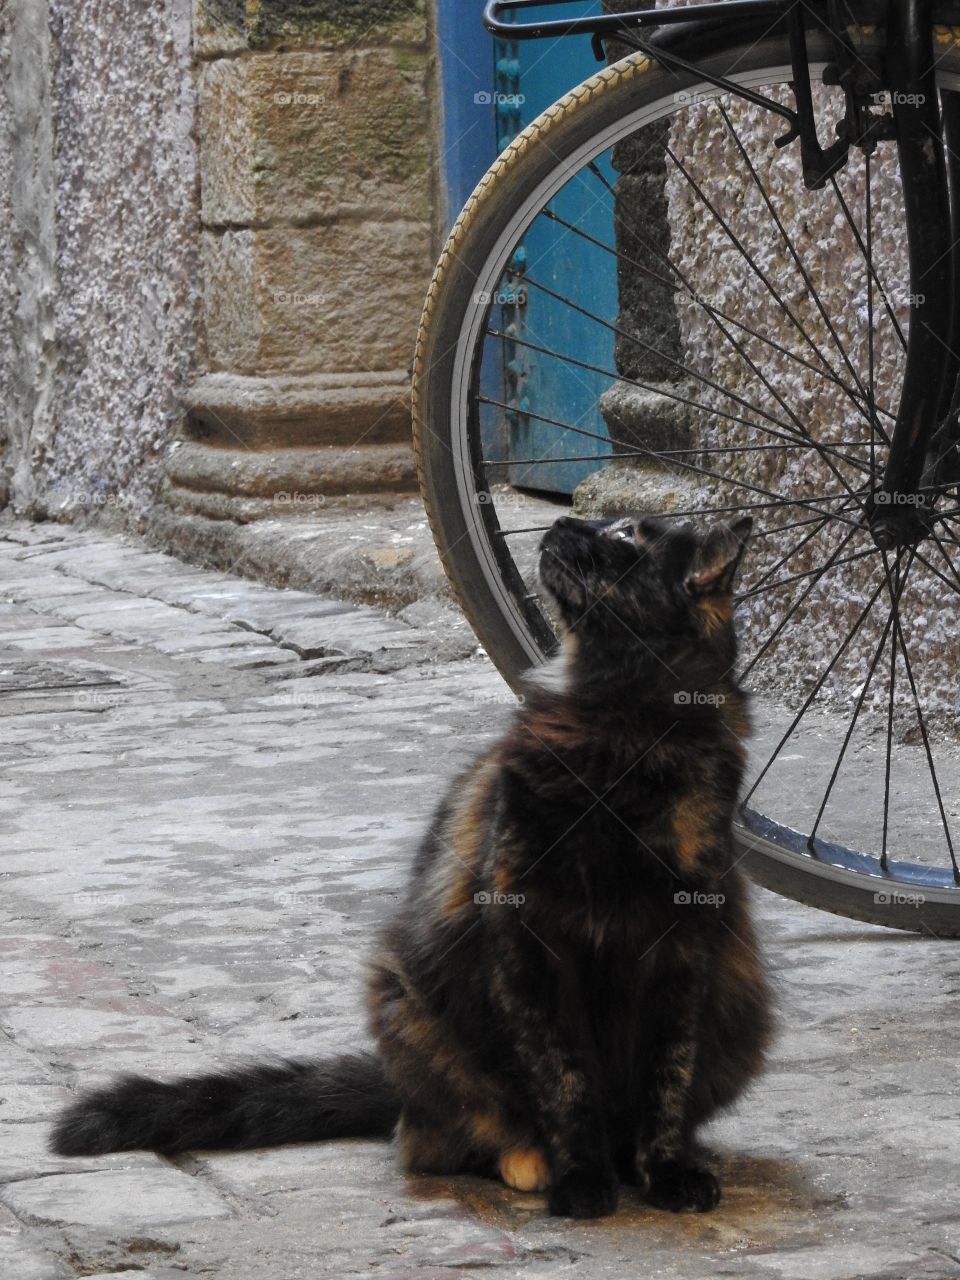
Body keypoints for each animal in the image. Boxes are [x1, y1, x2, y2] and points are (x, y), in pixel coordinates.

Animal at [50, 509, 773, 1218]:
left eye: (626, 536)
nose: (563, 522)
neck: (624, 731)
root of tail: (395, 1090)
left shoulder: (684, 945)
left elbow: (667, 1077)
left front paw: (667, 1172)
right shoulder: (530, 939)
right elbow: (563, 1078)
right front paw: (581, 1180)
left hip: (742, 1011)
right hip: (408, 1000)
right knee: (440, 1138)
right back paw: (530, 1161)